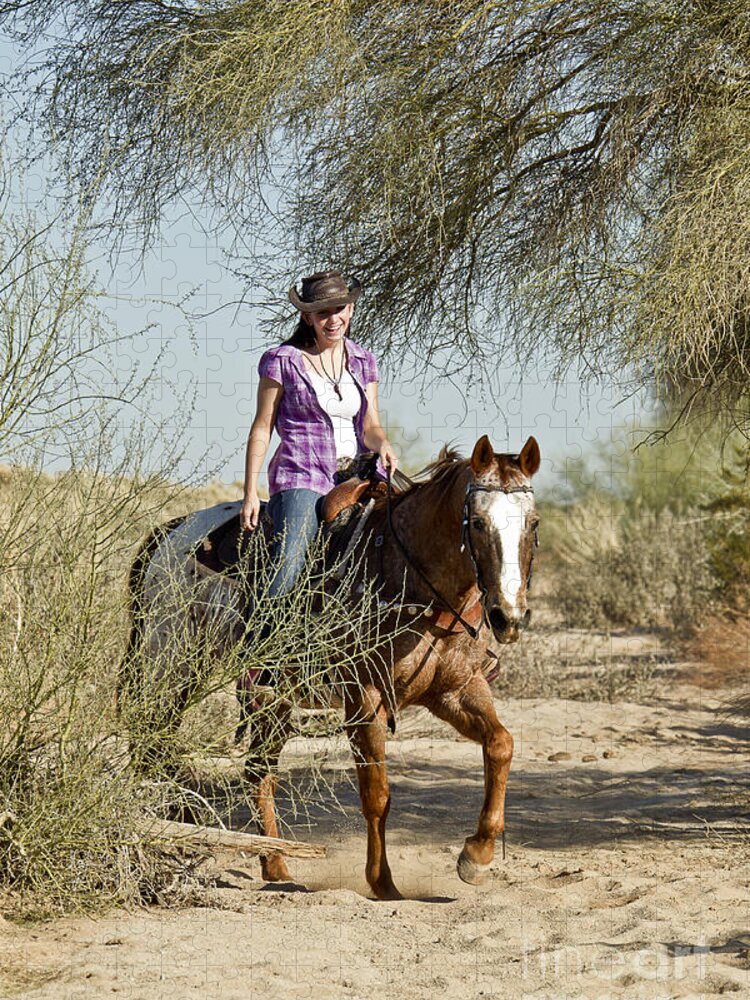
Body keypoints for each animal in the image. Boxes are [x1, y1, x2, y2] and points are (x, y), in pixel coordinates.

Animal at [126, 436, 544, 900]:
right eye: (478, 523)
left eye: (533, 524)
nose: (507, 616)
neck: (413, 581)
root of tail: (170, 532)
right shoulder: (365, 699)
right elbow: (376, 793)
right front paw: (382, 882)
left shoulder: (456, 690)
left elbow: (501, 744)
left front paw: (476, 855)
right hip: (172, 666)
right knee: (152, 742)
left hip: (269, 698)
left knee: (256, 771)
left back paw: (275, 864)